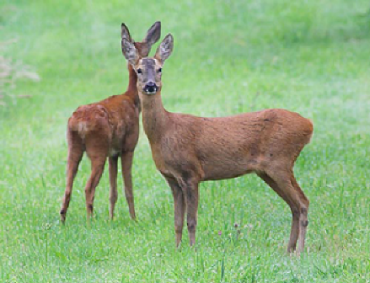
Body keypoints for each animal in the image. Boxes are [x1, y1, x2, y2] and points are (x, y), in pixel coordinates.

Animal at [60, 21, 161, 223]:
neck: (132, 100)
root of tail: (78, 122)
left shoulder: (112, 153)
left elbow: (113, 190)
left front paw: (111, 218)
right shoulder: (128, 146)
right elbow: (128, 188)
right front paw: (133, 219)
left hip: (73, 146)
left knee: (68, 187)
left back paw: (62, 222)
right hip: (97, 147)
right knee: (88, 187)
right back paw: (90, 221)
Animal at [121, 33, 312, 255]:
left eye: (160, 68)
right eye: (139, 70)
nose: (151, 85)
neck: (165, 131)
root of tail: (308, 125)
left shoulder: (191, 173)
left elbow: (191, 220)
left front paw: (192, 250)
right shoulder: (172, 178)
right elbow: (177, 221)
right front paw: (177, 249)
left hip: (280, 161)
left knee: (303, 202)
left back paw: (299, 251)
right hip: (268, 171)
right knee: (294, 205)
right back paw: (288, 250)